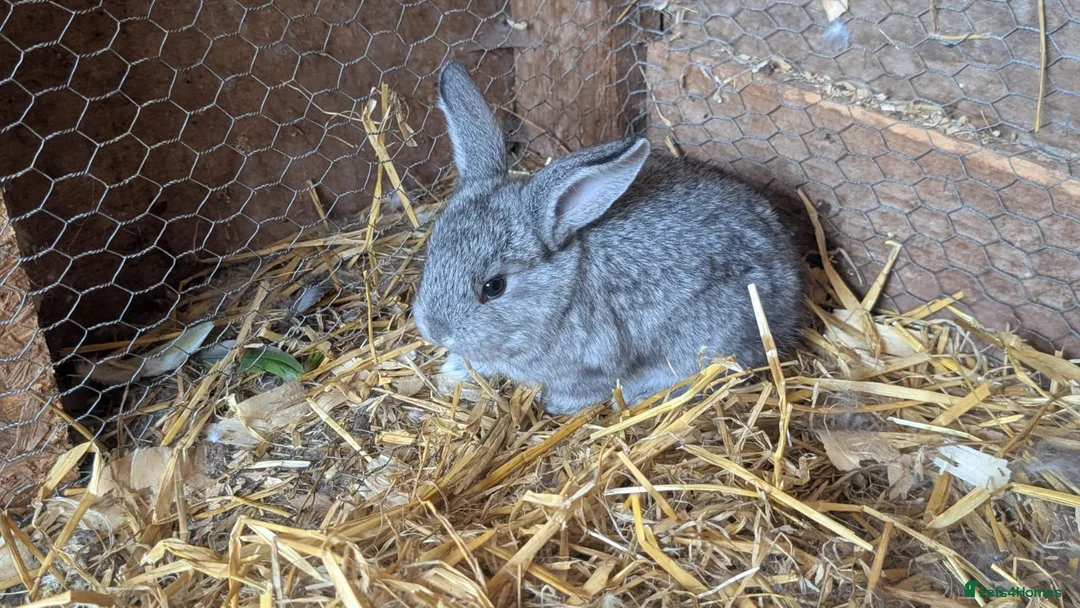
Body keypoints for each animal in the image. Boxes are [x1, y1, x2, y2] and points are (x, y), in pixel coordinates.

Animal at [411, 60, 806, 415]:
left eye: (494, 287)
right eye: (432, 252)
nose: (435, 331)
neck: (563, 292)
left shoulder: (594, 363)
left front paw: (557, 404)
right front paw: (454, 368)